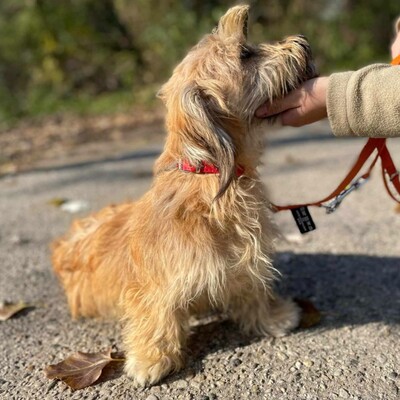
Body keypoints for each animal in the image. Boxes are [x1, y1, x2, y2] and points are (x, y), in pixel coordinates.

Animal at [52, 4, 316, 388]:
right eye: (245, 53)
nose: (303, 41)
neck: (207, 179)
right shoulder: (156, 284)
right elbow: (157, 313)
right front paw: (150, 359)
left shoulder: (244, 259)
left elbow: (252, 289)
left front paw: (273, 316)